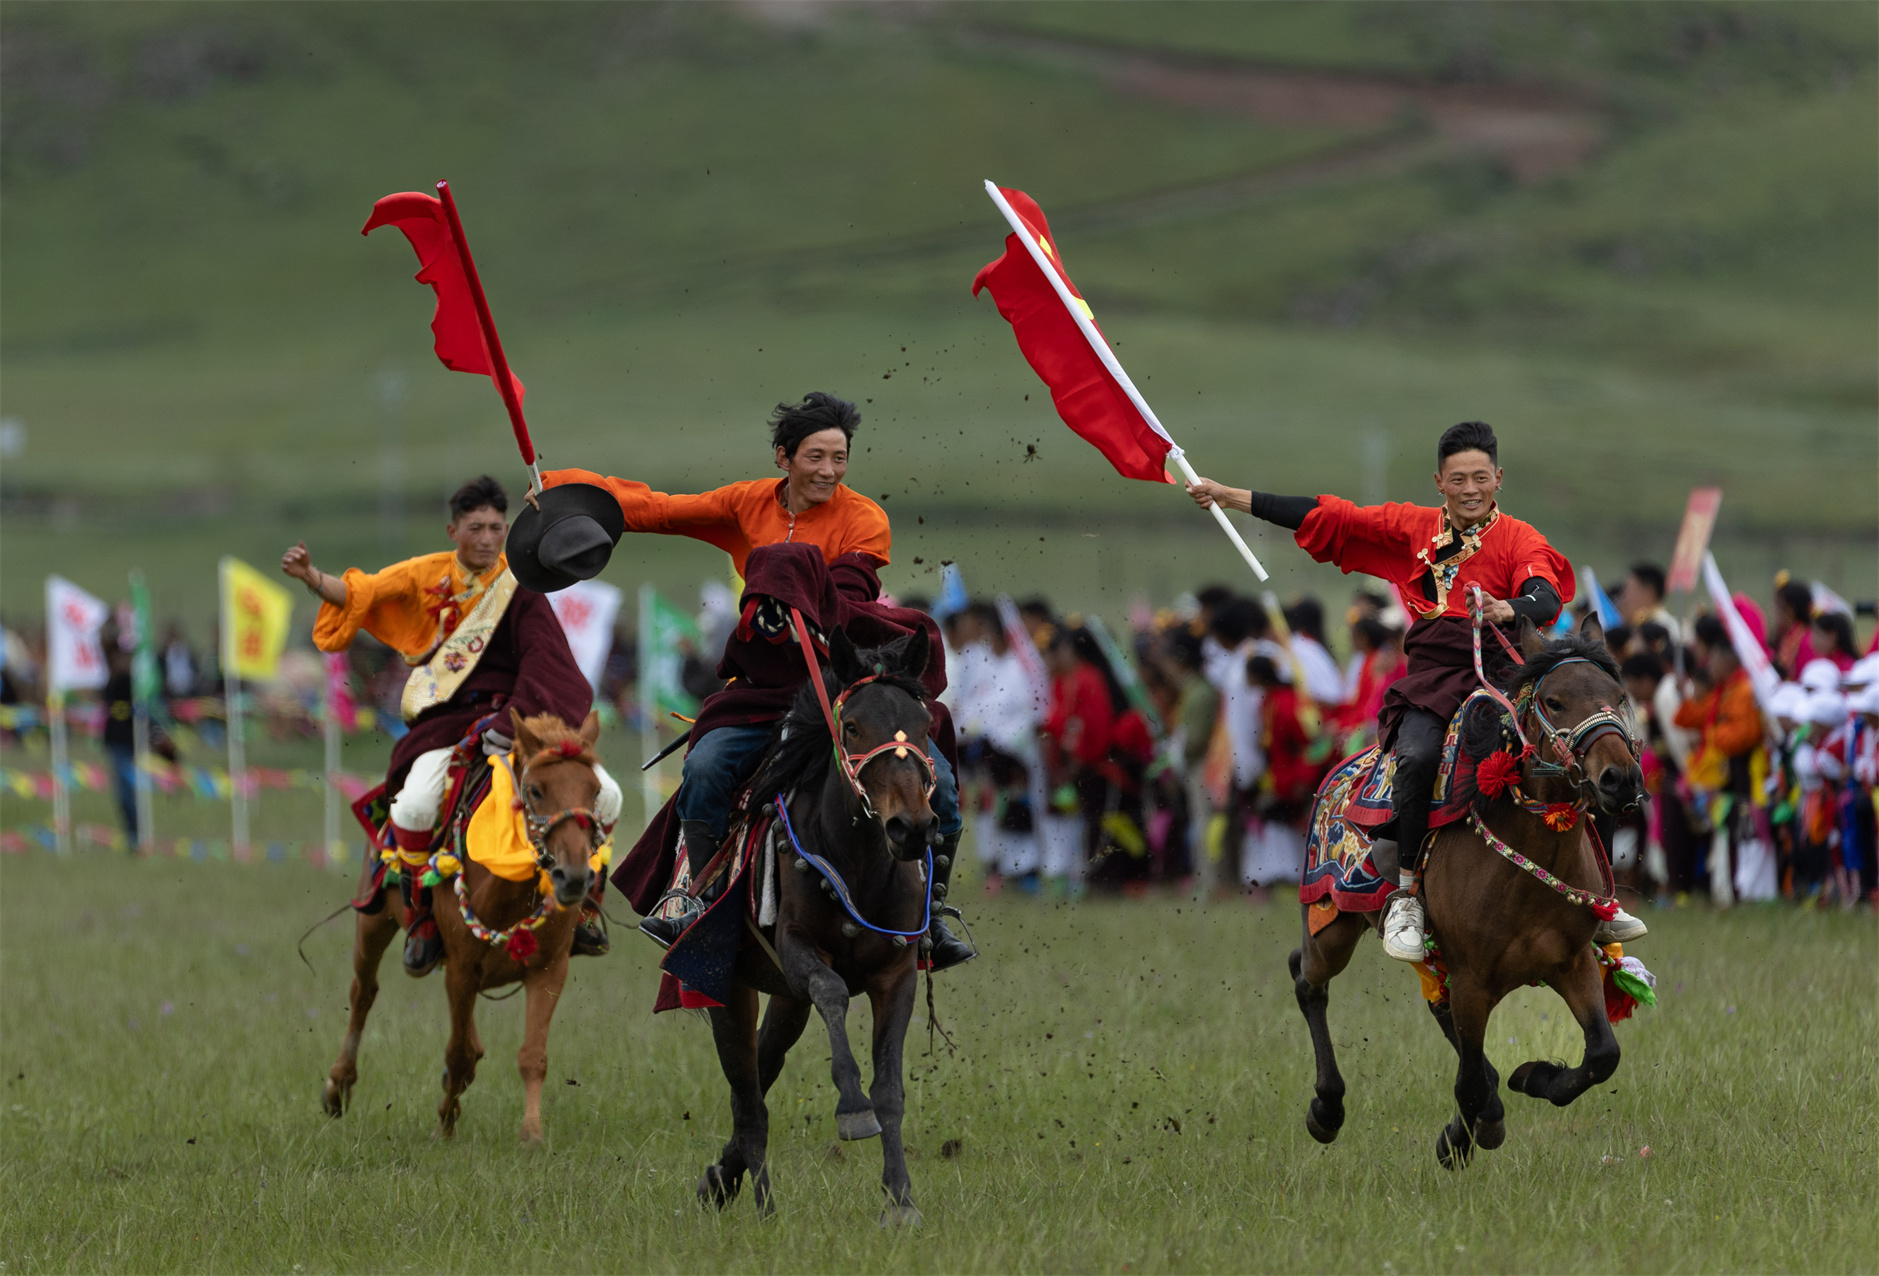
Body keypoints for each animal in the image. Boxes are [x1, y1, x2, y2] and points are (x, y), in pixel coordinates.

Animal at [320, 708, 607, 1143]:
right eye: (536, 791)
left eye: (594, 791)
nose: (573, 877)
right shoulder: (460, 969)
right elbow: (457, 1053)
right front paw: (445, 1126)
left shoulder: (549, 968)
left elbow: (531, 1055)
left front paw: (532, 1134)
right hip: (374, 921)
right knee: (364, 992)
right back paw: (338, 1086)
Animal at [693, 623, 941, 1225]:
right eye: (851, 727)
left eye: (926, 726)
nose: (911, 828)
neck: (858, 864)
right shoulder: (799, 951)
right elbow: (832, 991)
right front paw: (851, 1107)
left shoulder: (897, 974)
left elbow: (890, 1088)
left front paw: (901, 1200)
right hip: (731, 991)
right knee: (748, 1098)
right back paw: (761, 1206)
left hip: (785, 1000)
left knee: (762, 1068)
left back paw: (722, 1178)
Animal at [1290, 614, 1645, 1168]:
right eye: (1554, 702)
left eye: (1617, 694)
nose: (1620, 779)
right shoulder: (1473, 981)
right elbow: (1471, 1082)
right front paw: (1466, 1133)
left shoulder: (1572, 964)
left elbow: (1602, 1055)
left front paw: (1533, 1078)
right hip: (1330, 921)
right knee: (1308, 981)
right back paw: (1327, 1109)